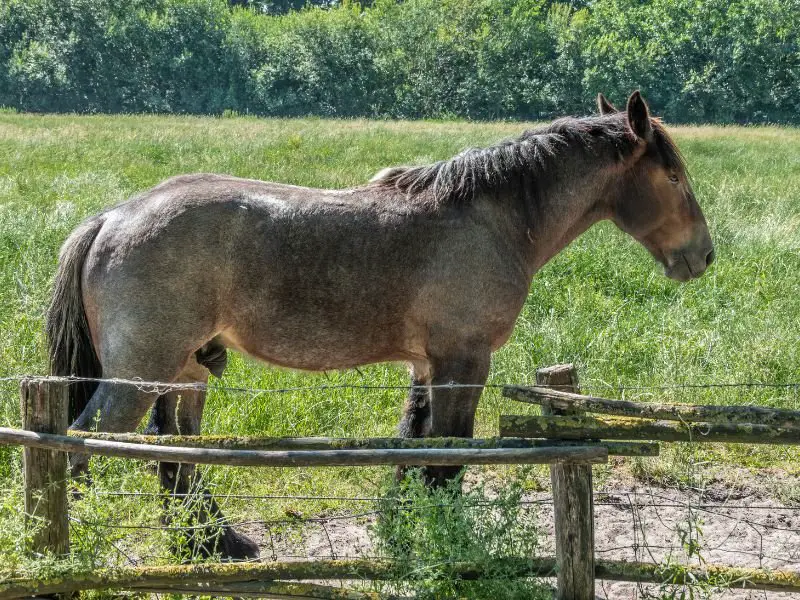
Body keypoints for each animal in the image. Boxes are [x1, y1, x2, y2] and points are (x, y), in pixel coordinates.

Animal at [48, 92, 712, 556]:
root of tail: (115, 215)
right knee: (78, 447)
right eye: (674, 177)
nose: (703, 256)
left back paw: (211, 547)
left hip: (185, 373)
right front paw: (448, 545)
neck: (489, 219)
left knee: (178, 459)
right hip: (137, 379)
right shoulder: (463, 362)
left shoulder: (424, 365)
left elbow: (412, 451)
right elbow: (447, 459)